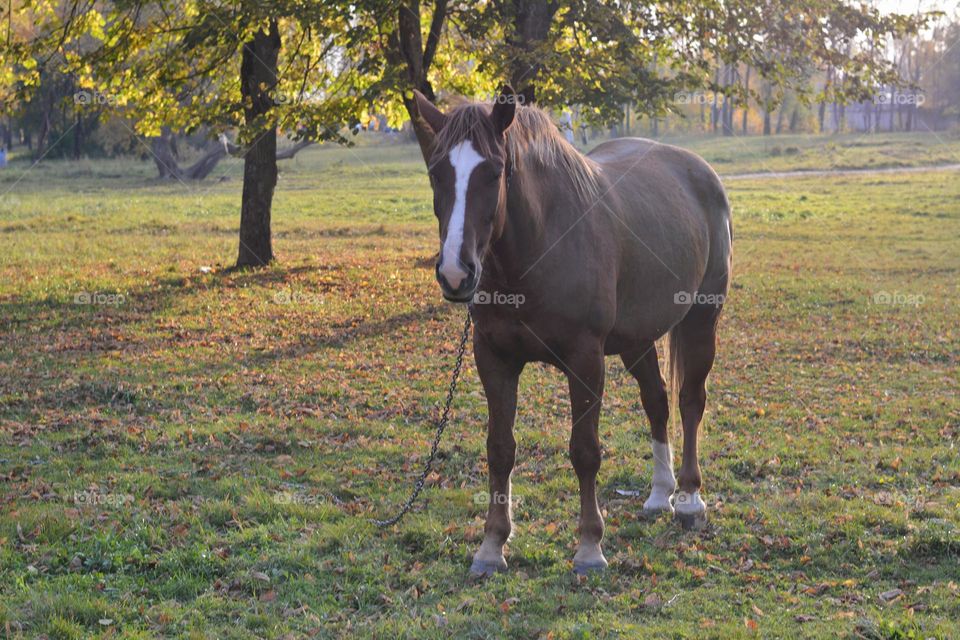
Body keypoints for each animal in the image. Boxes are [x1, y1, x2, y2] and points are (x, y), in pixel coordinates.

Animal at [411, 86, 732, 576]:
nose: (455, 273)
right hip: (637, 339)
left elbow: (585, 451)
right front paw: (491, 546)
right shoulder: (494, 358)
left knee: (690, 401)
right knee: (656, 402)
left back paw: (690, 500)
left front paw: (589, 547)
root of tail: (700, 171)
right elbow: (500, 448)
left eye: (494, 171)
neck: (541, 245)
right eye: (437, 172)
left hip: (701, 320)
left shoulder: (585, 360)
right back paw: (660, 494)